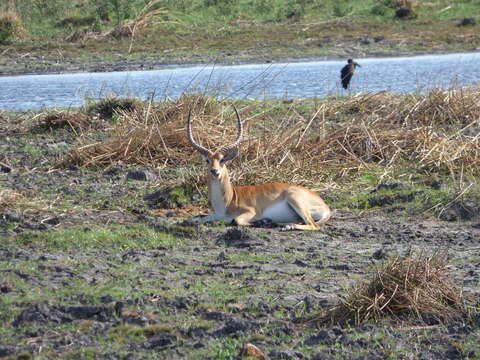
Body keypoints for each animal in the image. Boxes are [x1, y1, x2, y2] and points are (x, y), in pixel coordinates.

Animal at [186, 105, 332, 232]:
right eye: (207, 160)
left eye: (222, 160)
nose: (214, 171)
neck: (228, 200)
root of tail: (326, 207)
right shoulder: (214, 215)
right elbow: (193, 219)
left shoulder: (251, 211)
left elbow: (236, 221)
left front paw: (263, 221)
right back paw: (283, 224)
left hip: (295, 199)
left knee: (314, 225)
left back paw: (280, 224)